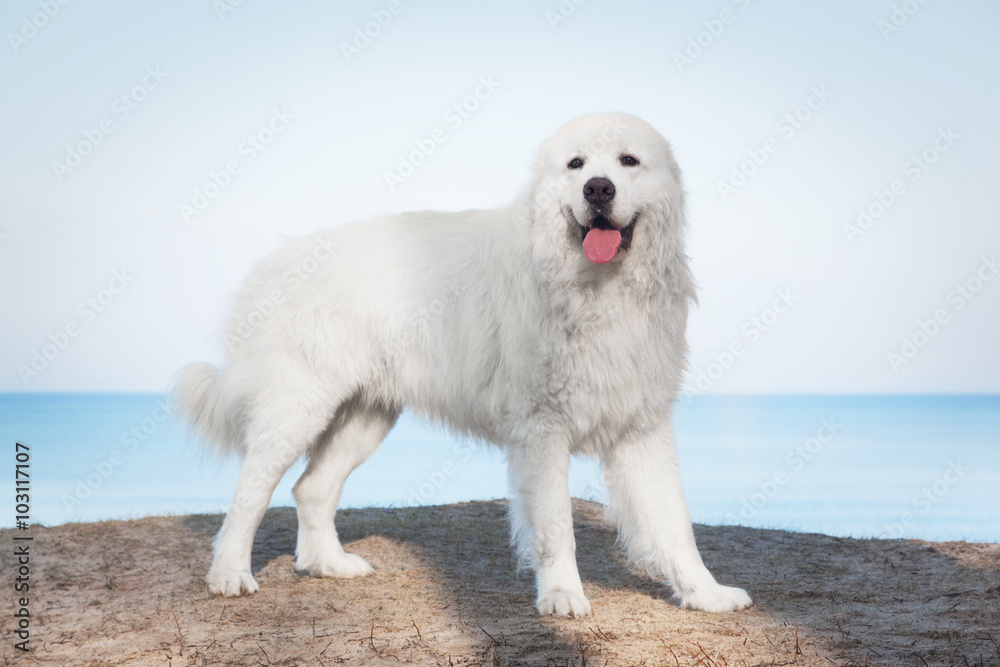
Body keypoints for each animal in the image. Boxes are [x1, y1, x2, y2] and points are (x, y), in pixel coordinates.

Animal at [178, 113, 752, 616]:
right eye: (576, 164)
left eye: (628, 160)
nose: (598, 189)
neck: (597, 288)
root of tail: (276, 260)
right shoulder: (542, 431)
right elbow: (557, 528)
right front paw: (562, 596)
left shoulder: (642, 429)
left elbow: (676, 526)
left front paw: (706, 594)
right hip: (298, 407)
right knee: (250, 493)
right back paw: (230, 574)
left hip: (364, 417)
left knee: (310, 489)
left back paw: (329, 565)